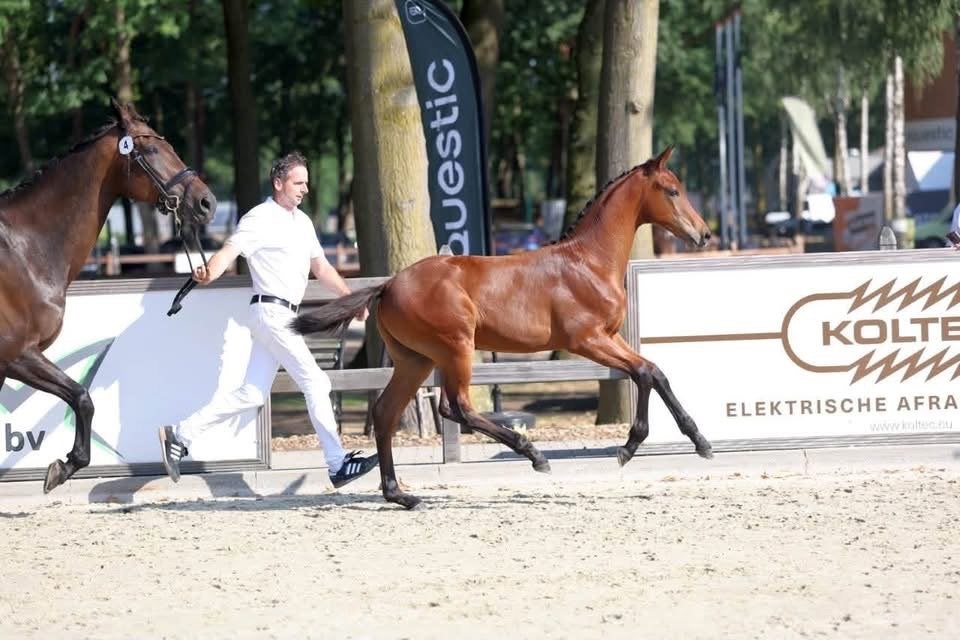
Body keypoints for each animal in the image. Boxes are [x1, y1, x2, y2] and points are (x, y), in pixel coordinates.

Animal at [0, 100, 216, 493]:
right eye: (151, 150)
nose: (207, 202)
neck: (23, 249)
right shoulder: (17, 354)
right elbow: (82, 398)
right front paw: (64, 466)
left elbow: (80, 398)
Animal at [293, 146, 713, 509]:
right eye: (672, 190)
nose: (705, 234)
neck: (588, 262)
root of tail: (388, 284)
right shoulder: (588, 340)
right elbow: (642, 372)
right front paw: (629, 447)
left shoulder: (609, 338)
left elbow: (655, 371)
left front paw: (700, 441)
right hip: (455, 348)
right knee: (456, 406)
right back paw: (534, 454)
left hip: (416, 360)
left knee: (386, 413)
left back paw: (400, 495)